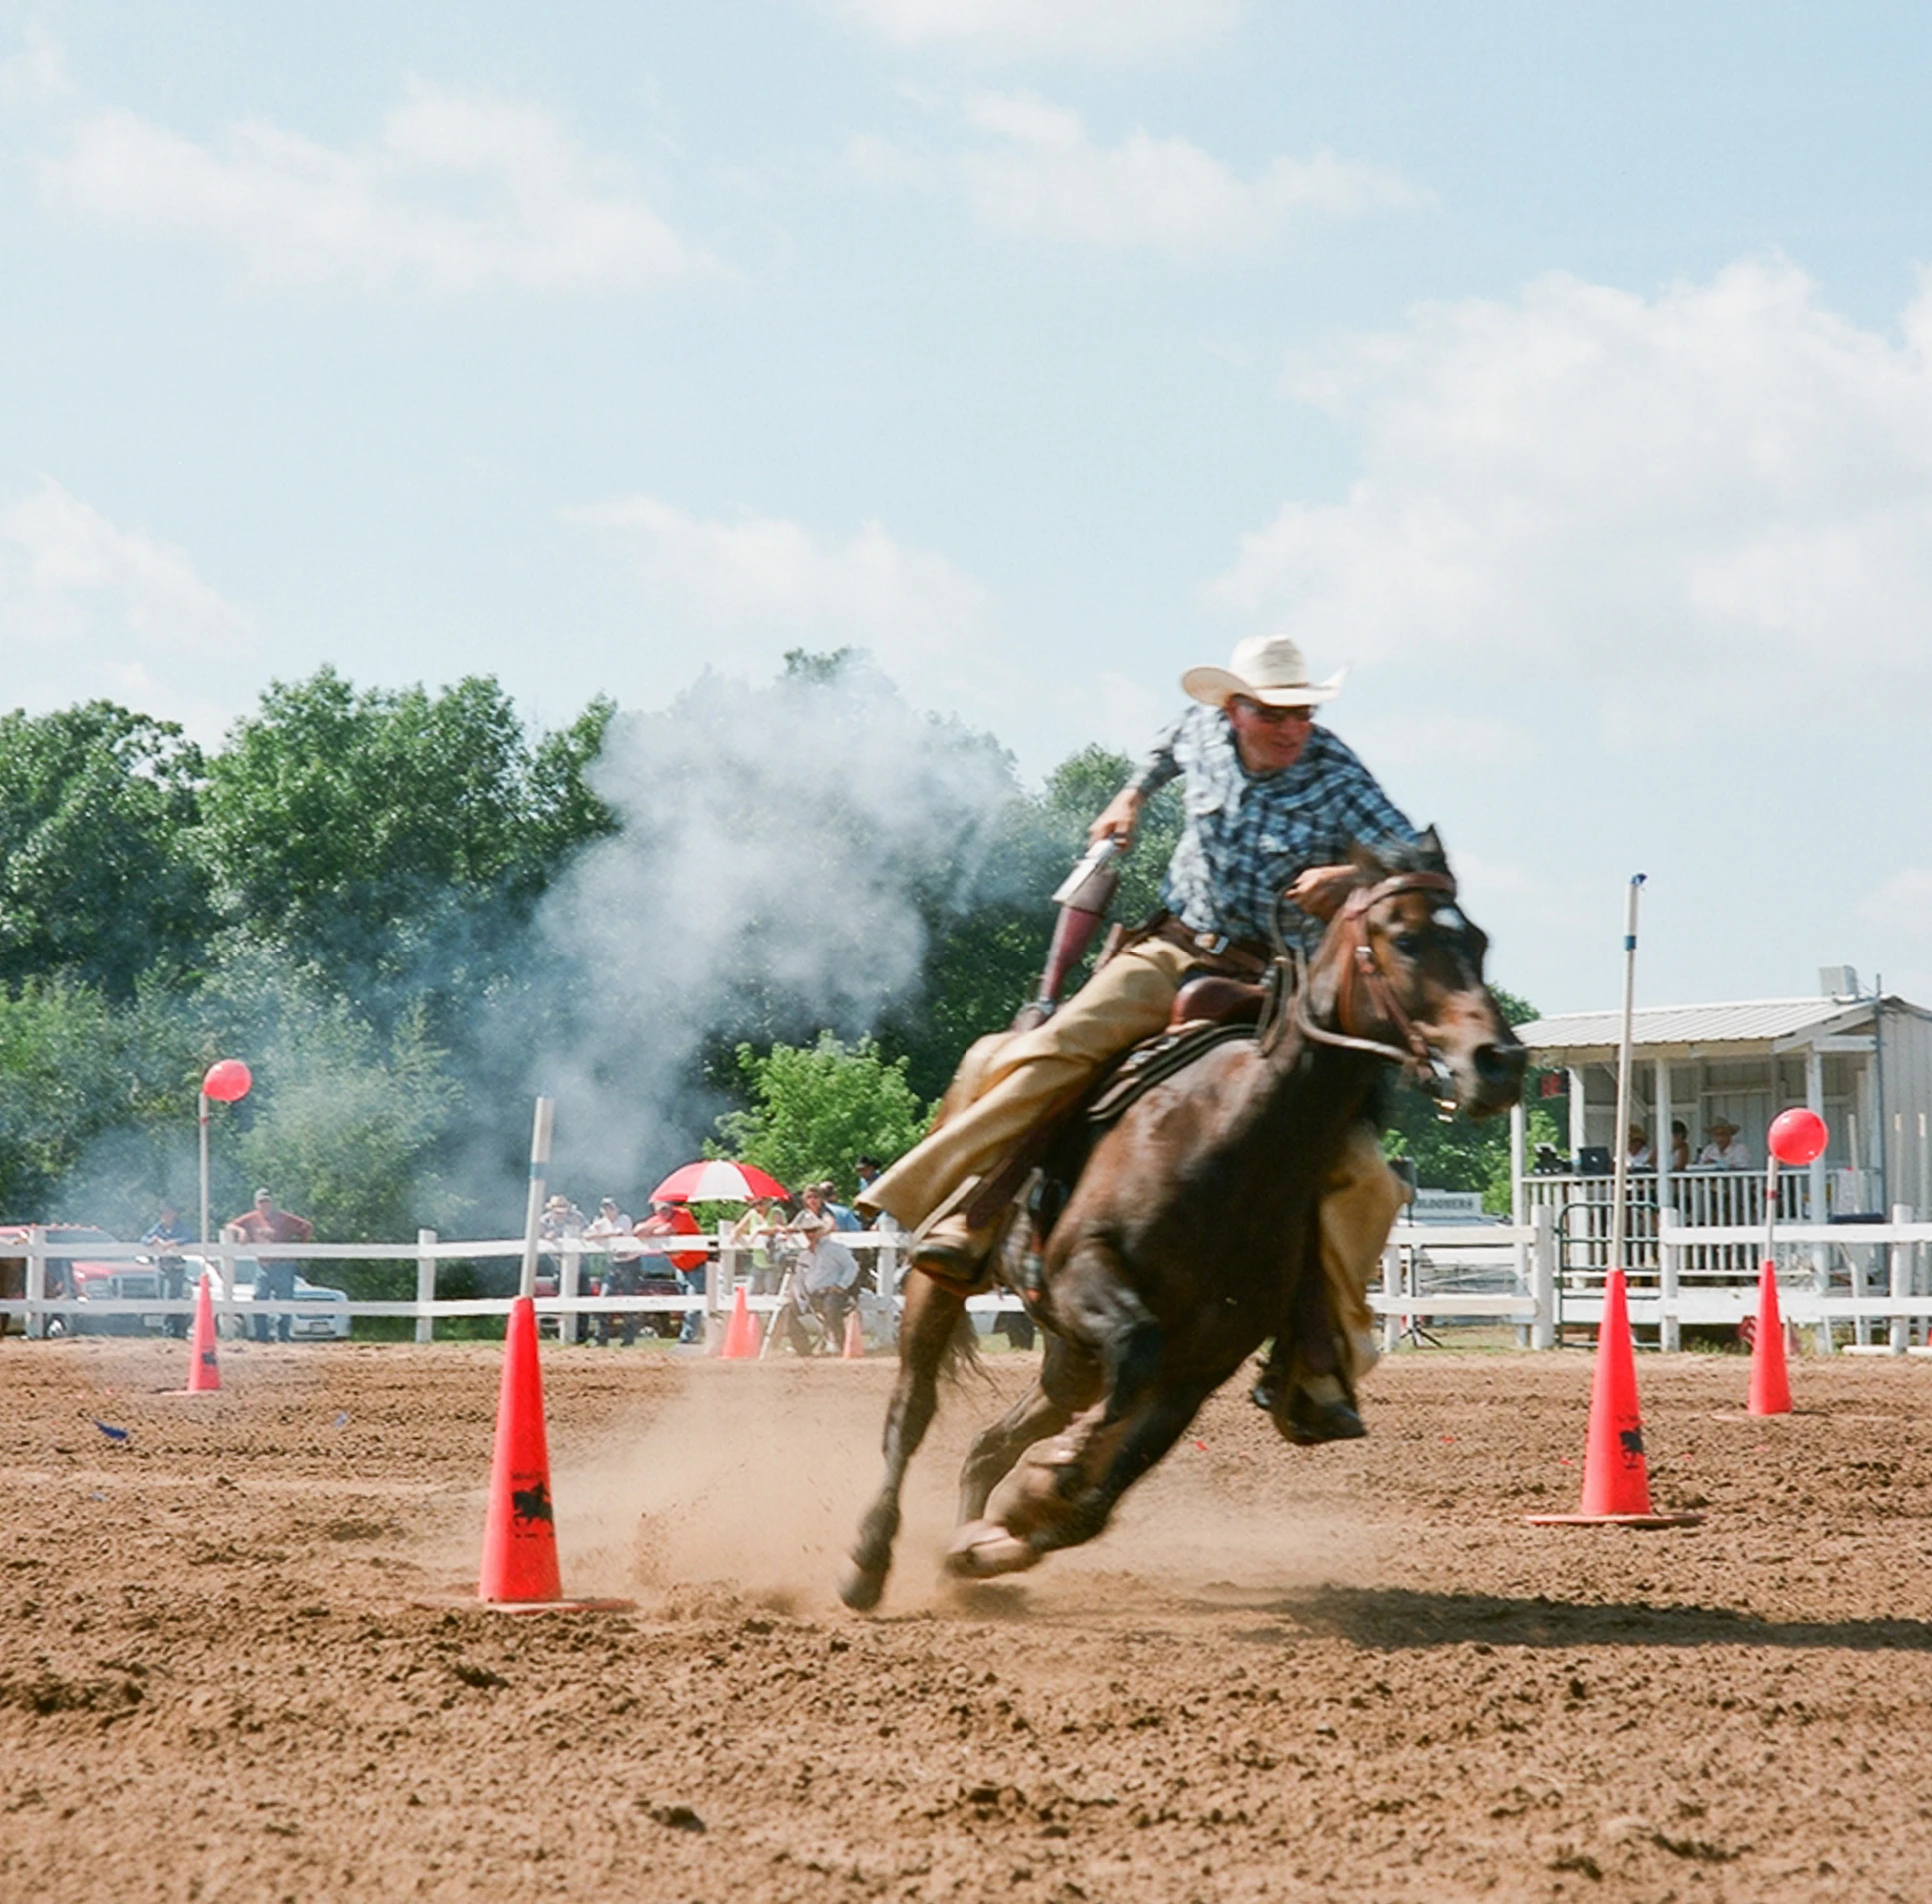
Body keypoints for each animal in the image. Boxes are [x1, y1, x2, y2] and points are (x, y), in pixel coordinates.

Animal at [842, 830, 1522, 1606]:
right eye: (1405, 938)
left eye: (1477, 939)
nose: (1498, 1062)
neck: (1234, 1144)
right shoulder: (1089, 1274)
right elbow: (1131, 1361)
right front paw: (1043, 1488)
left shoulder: (1202, 1362)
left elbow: (1105, 1490)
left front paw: (1009, 1529)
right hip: (943, 1286)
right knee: (910, 1411)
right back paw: (867, 1560)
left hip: (1071, 1359)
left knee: (990, 1444)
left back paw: (972, 1556)